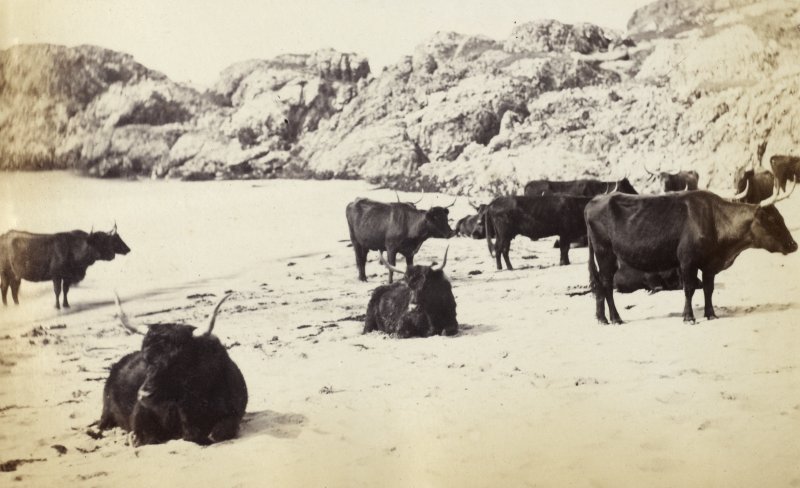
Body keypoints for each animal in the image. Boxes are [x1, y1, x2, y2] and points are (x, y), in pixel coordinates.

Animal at [0, 225, 130, 309]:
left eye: (107, 241)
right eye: (100, 242)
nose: (112, 255)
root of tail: (5, 235)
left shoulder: (67, 277)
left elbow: (65, 290)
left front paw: (66, 304)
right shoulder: (56, 275)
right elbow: (57, 291)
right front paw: (57, 306)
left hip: (14, 275)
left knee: (13, 289)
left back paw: (15, 305)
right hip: (5, 273)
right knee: (6, 288)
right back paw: (7, 307)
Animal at [99, 293, 248, 446]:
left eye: (177, 360)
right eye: (145, 358)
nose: (144, 395)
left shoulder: (234, 413)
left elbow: (218, 433)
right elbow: (148, 436)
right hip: (106, 412)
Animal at [586, 185, 797, 324]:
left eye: (781, 217)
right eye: (772, 219)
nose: (794, 245)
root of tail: (595, 200)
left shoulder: (709, 265)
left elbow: (708, 289)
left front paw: (711, 314)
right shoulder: (687, 262)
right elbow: (689, 289)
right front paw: (688, 316)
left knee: (600, 286)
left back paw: (601, 318)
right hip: (605, 254)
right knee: (606, 285)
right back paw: (615, 318)